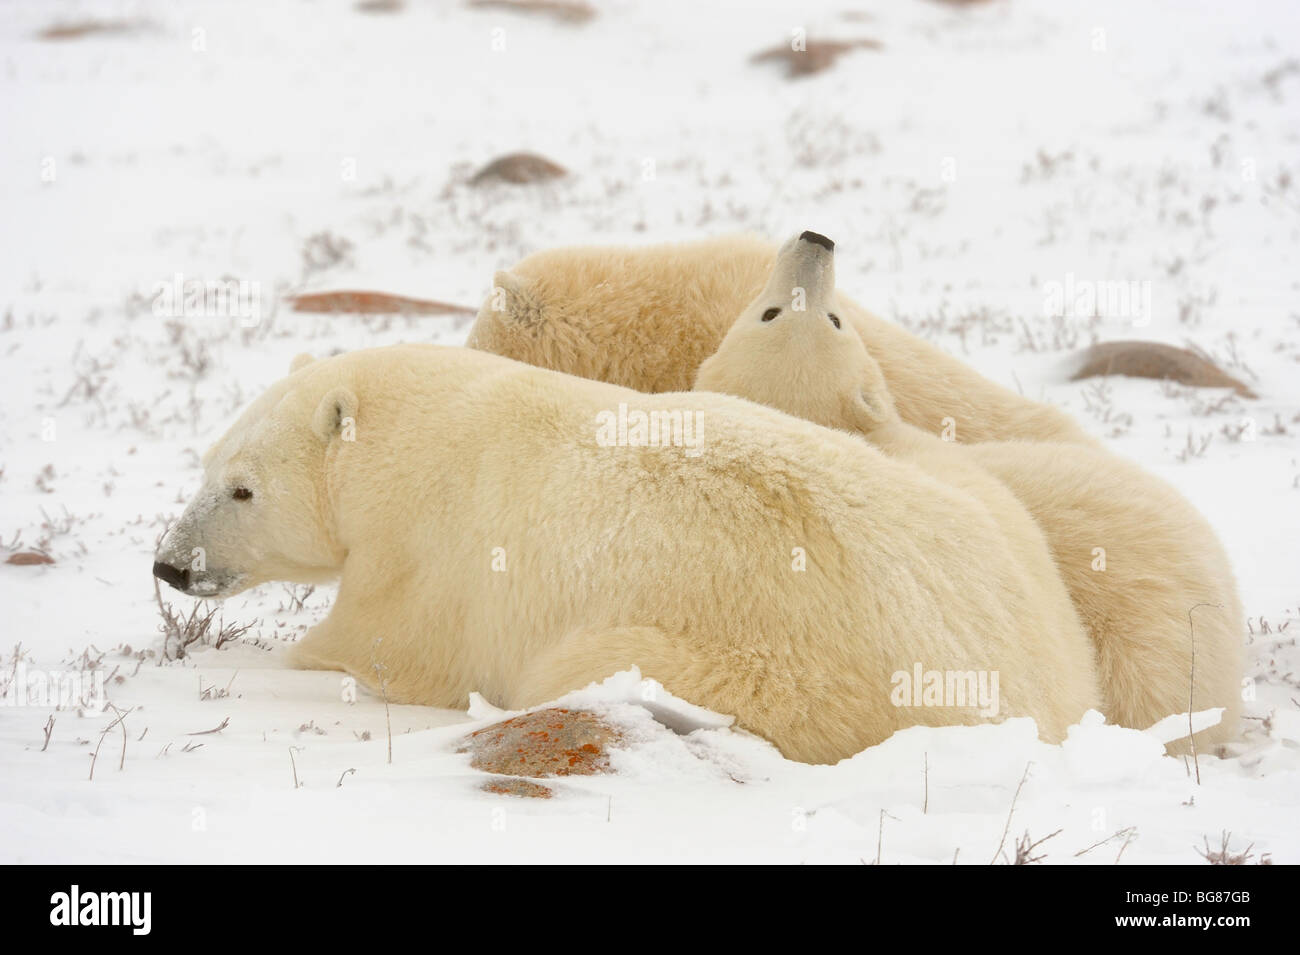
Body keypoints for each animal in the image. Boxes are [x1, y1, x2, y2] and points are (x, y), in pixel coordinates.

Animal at [154, 343, 1107, 764]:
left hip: (786, 671)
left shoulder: (429, 553)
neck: (412, 433)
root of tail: (1035, 688)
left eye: (241, 489)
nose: (170, 563)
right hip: (995, 524)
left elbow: (380, 645)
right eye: (203, 464)